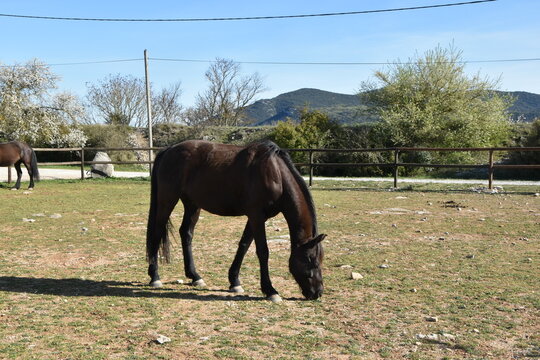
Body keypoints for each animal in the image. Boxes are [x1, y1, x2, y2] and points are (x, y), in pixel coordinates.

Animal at [146, 139, 326, 302]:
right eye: (311, 261)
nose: (318, 292)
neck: (276, 174)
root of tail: (168, 150)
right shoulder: (257, 216)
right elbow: (263, 251)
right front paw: (270, 290)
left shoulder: (256, 218)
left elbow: (244, 246)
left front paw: (235, 282)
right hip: (167, 201)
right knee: (157, 232)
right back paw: (155, 277)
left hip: (192, 205)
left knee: (186, 233)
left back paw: (195, 276)